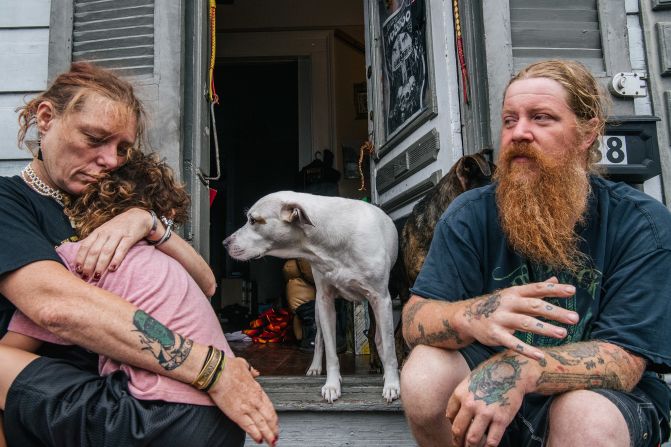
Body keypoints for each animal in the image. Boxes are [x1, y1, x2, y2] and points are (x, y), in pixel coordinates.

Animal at [223, 191, 402, 404]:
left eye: (253, 220)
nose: (224, 243)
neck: (333, 240)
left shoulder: (381, 299)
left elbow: (389, 346)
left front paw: (391, 382)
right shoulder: (325, 301)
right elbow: (331, 352)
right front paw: (332, 385)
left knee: (380, 337)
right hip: (318, 309)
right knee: (319, 338)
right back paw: (315, 366)